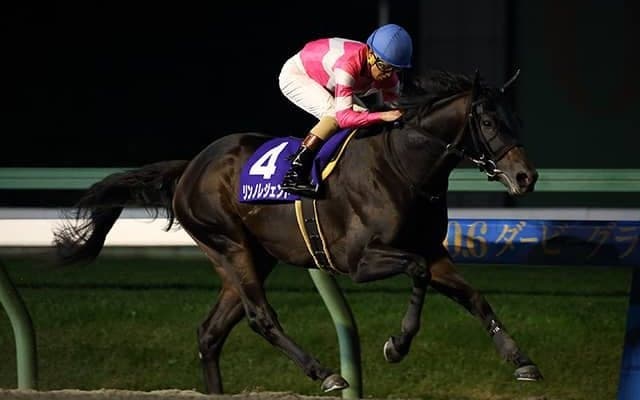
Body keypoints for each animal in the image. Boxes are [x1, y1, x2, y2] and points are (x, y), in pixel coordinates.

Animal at [53, 69, 541, 394]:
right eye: (489, 122)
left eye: (516, 119)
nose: (527, 177)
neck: (402, 166)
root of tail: (191, 166)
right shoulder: (358, 260)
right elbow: (417, 270)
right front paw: (397, 345)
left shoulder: (432, 249)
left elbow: (473, 296)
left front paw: (520, 360)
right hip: (229, 245)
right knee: (260, 317)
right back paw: (326, 373)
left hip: (252, 256)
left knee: (211, 332)